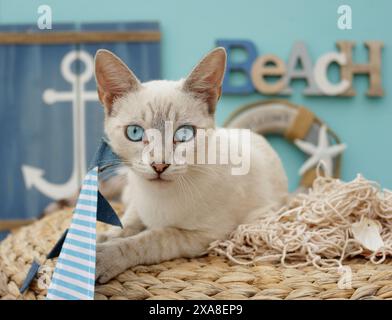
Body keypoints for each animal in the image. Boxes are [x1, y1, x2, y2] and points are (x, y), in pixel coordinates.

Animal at [92, 47, 288, 282]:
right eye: (135, 132)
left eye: (184, 134)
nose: (159, 165)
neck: (155, 198)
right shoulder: (137, 203)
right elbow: (125, 224)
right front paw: (101, 238)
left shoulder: (201, 236)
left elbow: (148, 239)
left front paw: (104, 255)